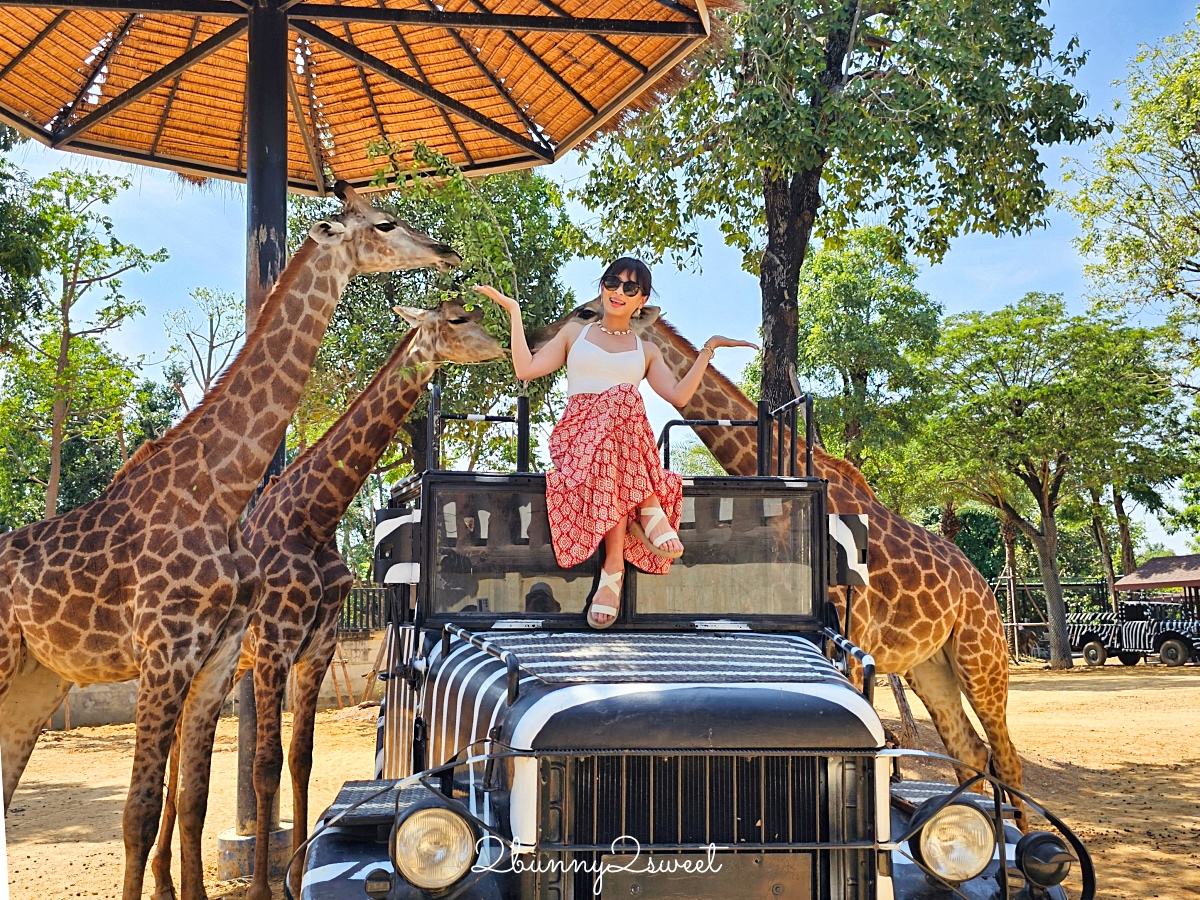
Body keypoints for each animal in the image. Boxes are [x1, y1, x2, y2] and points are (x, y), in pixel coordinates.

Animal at [0, 183, 460, 900]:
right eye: (384, 223)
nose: (446, 252)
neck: (220, 492)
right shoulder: (189, 651)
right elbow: (150, 807)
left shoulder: (231, 655)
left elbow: (210, 789)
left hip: (39, 678)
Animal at [152, 303, 504, 900]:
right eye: (457, 319)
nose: (503, 346)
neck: (313, 519)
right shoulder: (275, 646)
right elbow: (264, 764)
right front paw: (263, 889)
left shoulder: (317, 649)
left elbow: (301, 758)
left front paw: (295, 875)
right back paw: (163, 879)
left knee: (179, 750)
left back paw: (165, 878)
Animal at [540, 301, 1027, 825]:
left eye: (586, 311)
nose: (541, 337)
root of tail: (982, 585)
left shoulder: (848, 635)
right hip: (931, 665)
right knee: (969, 750)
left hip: (982, 654)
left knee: (1006, 755)